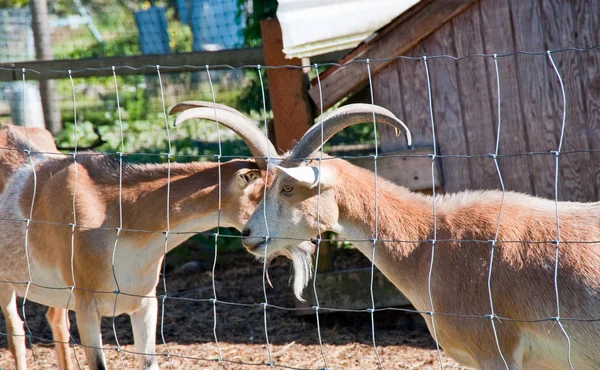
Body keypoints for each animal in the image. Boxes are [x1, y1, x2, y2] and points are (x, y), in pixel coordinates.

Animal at [0, 103, 314, 370]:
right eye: (269, 193)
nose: (310, 244)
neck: (116, 214)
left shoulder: (145, 304)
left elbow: (149, 362)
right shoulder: (87, 305)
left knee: (55, 321)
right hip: (8, 284)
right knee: (16, 332)